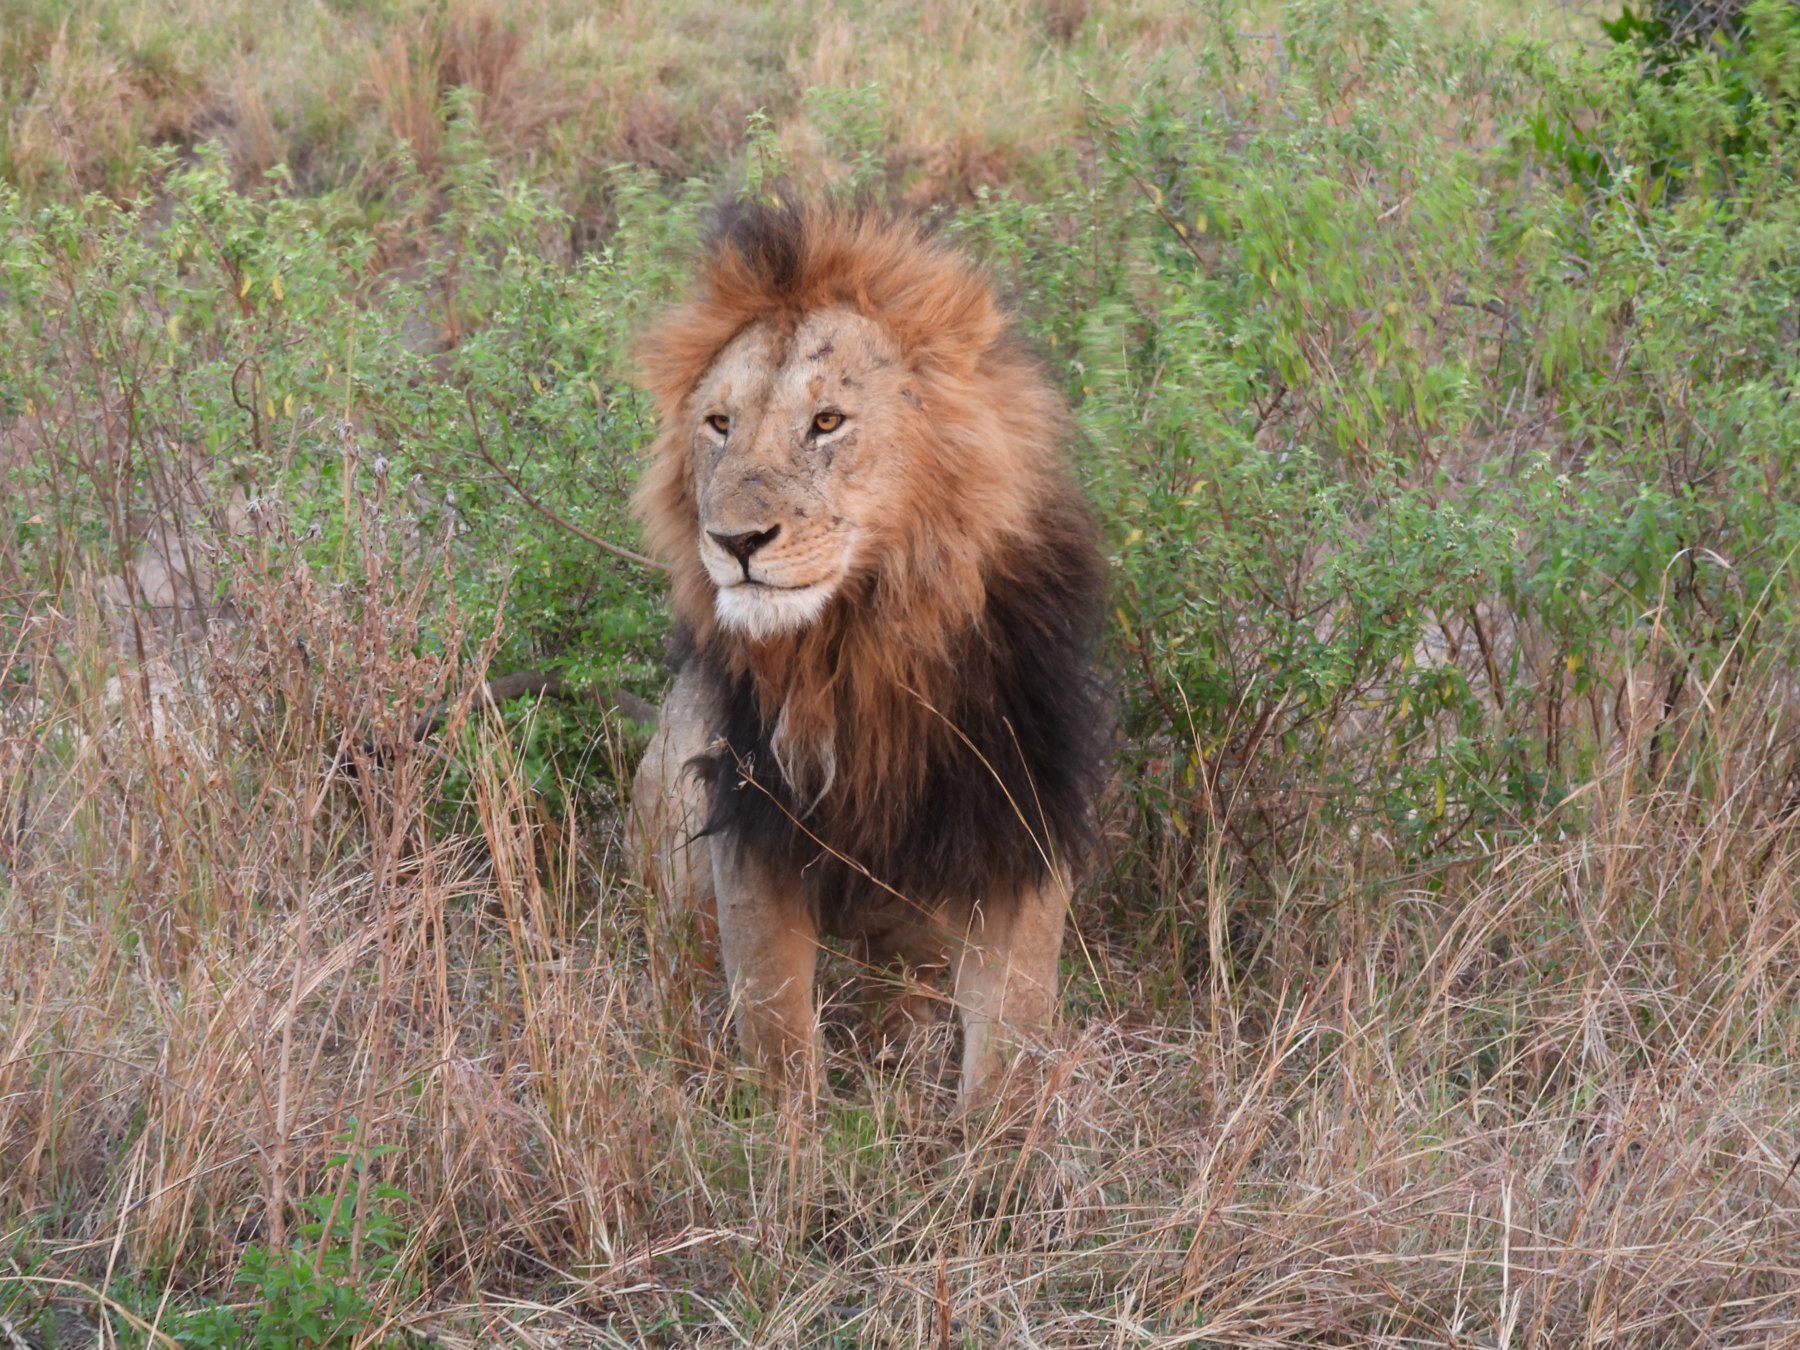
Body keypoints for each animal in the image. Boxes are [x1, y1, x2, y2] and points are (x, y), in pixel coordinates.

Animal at [628, 202, 1107, 1110]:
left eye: (827, 422)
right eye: (719, 424)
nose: (734, 541)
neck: (863, 639)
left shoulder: (1021, 820)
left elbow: (1012, 1042)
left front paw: (995, 1145)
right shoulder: (751, 822)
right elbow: (779, 1036)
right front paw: (785, 1143)